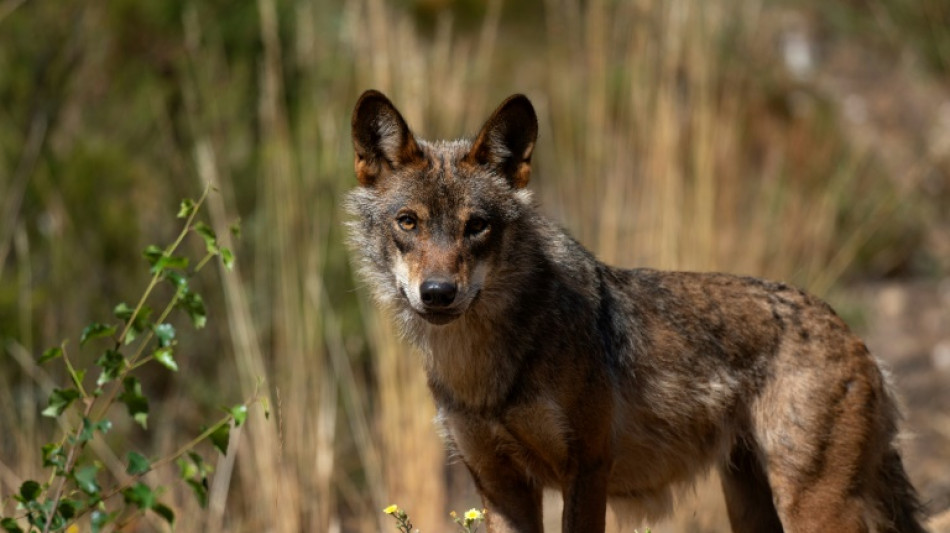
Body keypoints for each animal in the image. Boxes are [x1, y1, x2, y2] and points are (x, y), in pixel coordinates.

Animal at [344, 89, 928, 528]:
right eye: (408, 222)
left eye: (477, 226)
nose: (439, 293)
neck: (484, 371)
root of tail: (852, 334)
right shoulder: (499, 485)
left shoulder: (588, 469)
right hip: (750, 504)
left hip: (812, 506)